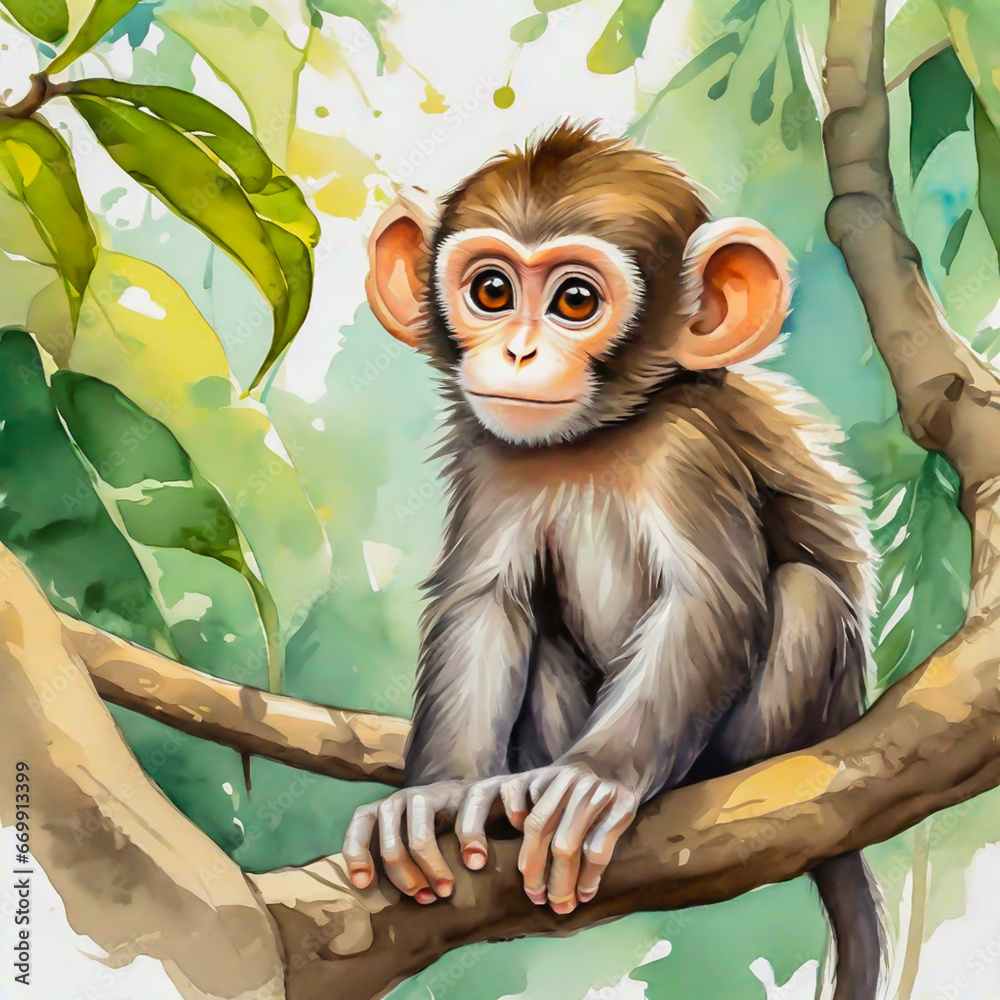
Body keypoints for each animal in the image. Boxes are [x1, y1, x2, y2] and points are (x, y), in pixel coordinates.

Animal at [343, 122, 882, 1000]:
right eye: (491, 290)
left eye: (574, 301)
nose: (519, 353)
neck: (600, 437)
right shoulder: (492, 455)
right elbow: (487, 604)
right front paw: (438, 794)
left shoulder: (690, 449)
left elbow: (708, 602)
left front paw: (597, 779)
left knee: (804, 594)